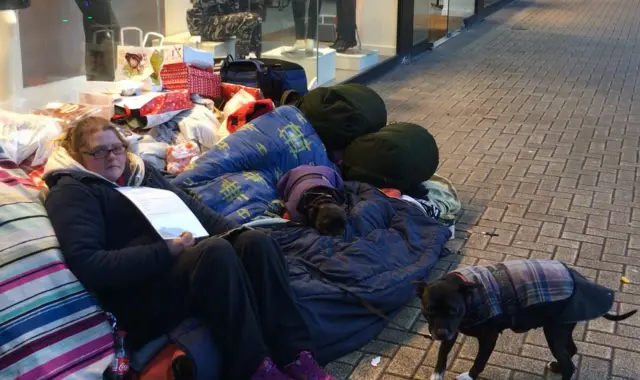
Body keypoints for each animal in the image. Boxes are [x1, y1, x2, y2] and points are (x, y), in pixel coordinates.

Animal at [412, 260, 636, 380]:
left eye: (454, 310)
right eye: (429, 310)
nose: (440, 334)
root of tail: (579, 279)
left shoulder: (488, 338)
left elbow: (479, 360)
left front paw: (470, 375)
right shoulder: (450, 331)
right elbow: (442, 354)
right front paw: (437, 374)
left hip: (554, 332)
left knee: (569, 365)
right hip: (561, 326)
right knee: (571, 350)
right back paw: (556, 366)